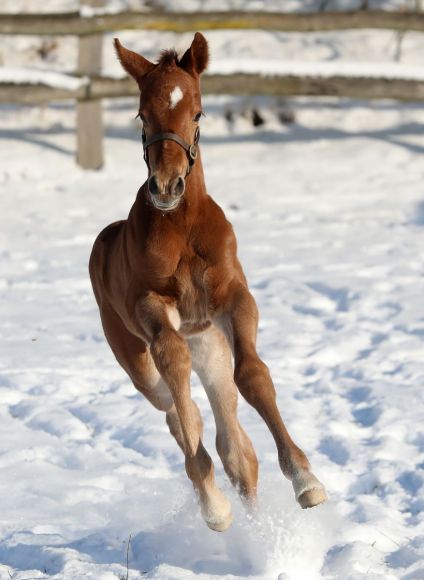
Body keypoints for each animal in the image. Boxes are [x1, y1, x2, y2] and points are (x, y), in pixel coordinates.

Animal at [90, 31, 328, 532]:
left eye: (197, 112)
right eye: (142, 113)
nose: (166, 187)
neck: (181, 227)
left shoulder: (234, 299)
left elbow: (253, 375)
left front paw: (307, 483)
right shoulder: (151, 309)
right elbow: (173, 361)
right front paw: (214, 507)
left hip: (211, 348)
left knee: (234, 444)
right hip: (141, 367)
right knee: (180, 413)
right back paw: (213, 500)